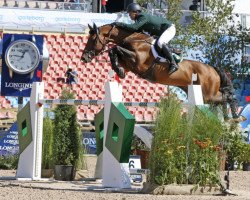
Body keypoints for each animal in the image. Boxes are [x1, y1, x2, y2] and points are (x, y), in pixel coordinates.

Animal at [81, 22, 244, 121]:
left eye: (92, 39)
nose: (84, 58)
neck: (132, 38)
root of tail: (212, 69)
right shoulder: (129, 64)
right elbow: (115, 54)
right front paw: (119, 71)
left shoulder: (137, 60)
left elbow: (115, 49)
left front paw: (117, 67)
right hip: (201, 93)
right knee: (222, 98)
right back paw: (228, 118)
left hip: (207, 94)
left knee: (226, 97)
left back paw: (235, 116)